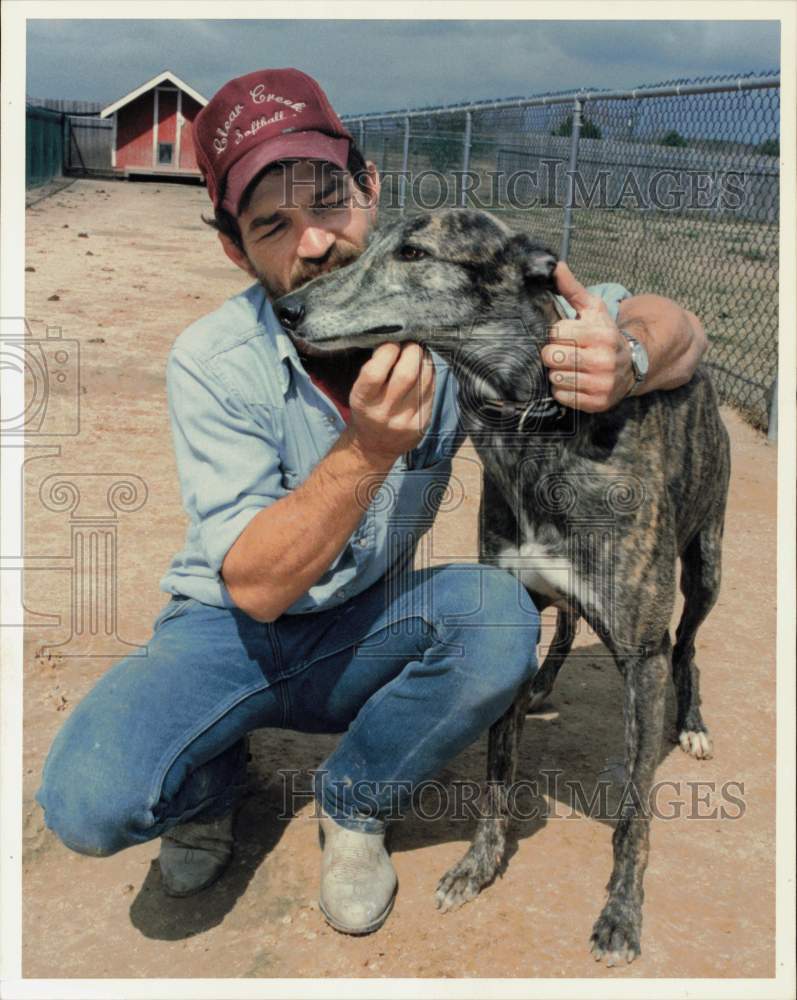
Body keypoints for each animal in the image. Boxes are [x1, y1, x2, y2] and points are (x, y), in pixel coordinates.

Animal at [276, 207, 732, 964]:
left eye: (413, 253)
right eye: (366, 247)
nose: (287, 309)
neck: (533, 424)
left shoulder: (642, 657)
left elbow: (634, 812)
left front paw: (621, 912)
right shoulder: (510, 602)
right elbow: (497, 772)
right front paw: (477, 867)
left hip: (706, 567)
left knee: (688, 644)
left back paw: (692, 723)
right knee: (570, 622)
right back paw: (547, 681)